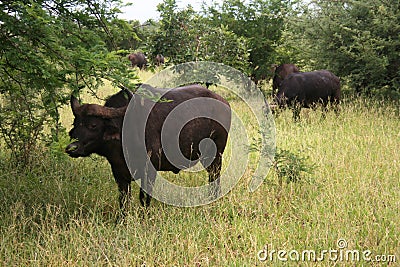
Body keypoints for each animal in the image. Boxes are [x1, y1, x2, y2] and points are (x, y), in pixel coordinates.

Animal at [65, 86, 231, 209]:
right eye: (75, 123)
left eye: (93, 125)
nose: (71, 148)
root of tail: (223, 102)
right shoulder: (119, 174)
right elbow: (123, 201)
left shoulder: (150, 171)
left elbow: (145, 198)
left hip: (215, 154)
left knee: (214, 176)